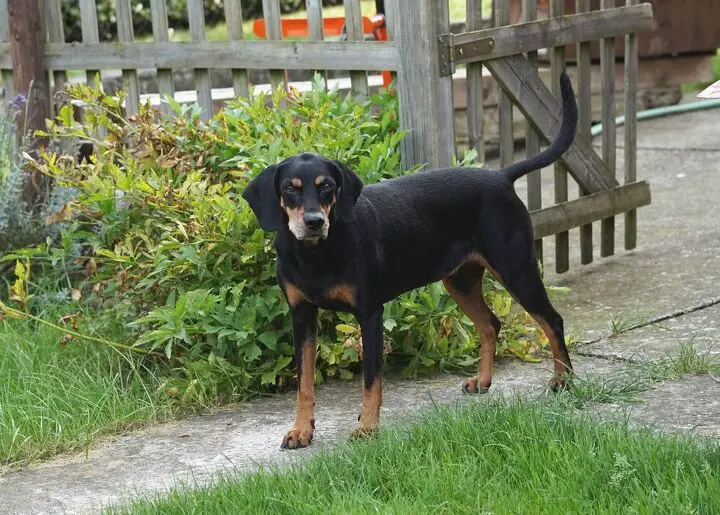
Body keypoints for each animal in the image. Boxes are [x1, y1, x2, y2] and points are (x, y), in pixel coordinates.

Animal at [245, 70, 576, 450]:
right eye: (290, 188)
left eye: (327, 185)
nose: (314, 221)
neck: (316, 254)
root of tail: (501, 176)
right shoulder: (301, 316)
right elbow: (304, 383)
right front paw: (301, 430)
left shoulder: (370, 313)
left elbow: (371, 380)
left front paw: (367, 427)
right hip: (460, 281)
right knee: (490, 324)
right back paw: (482, 381)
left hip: (516, 268)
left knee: (552, 320)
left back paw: (563, 380)